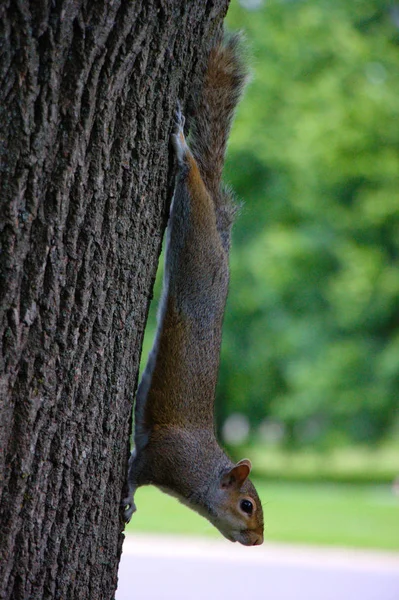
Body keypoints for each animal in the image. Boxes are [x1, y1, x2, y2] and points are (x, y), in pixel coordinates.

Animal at [122, 35, 266, 548]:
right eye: (246, 505)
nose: (258, 540)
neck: (201, 474)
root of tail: (222, 248)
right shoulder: (162, 458)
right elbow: (133, 471)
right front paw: (128, 501)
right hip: (194, 232)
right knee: (193, 179)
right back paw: (183, 147)